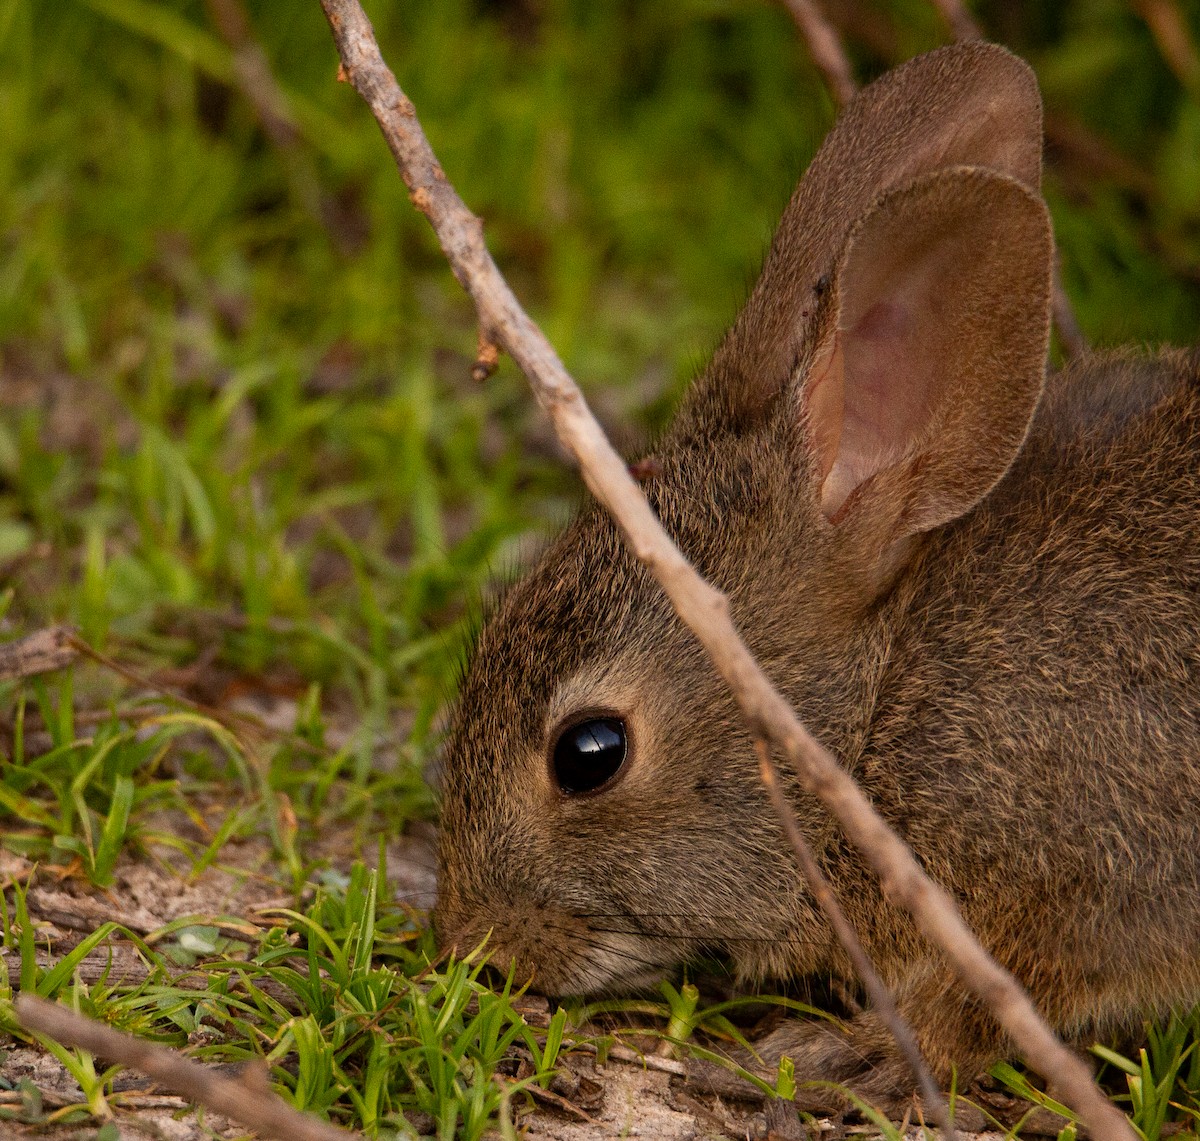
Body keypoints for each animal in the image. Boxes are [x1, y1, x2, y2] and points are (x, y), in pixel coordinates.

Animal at [433, 41, 1200, 1110]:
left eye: (589, 752)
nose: (468, 938)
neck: (879, 707)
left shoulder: (1088, 877)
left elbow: (998, 1002)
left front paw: (845, 1053)